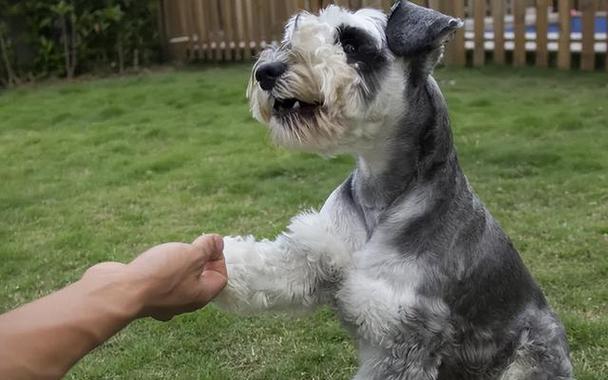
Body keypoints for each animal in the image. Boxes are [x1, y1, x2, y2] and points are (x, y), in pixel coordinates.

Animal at [215, 1, 576, 378]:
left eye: (353, 44)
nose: (266, 71)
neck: (379, 195)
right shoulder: (314, 256)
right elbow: (263, 266)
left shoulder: (403, 339)